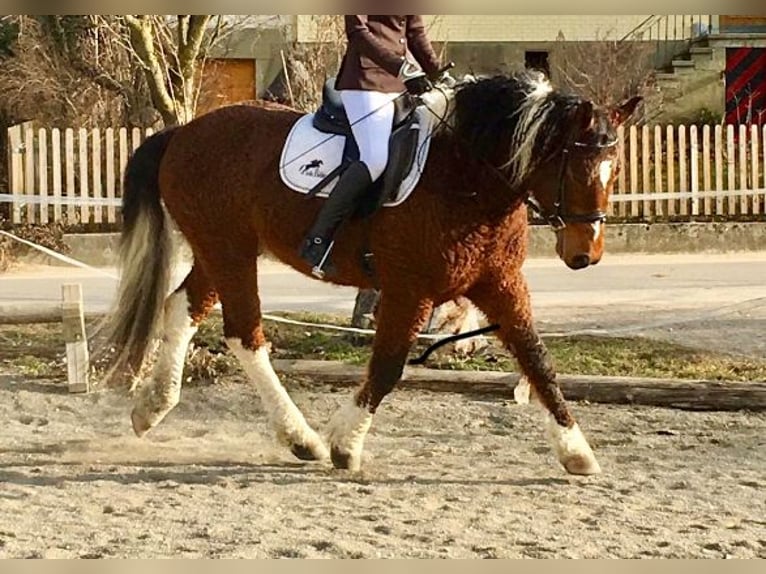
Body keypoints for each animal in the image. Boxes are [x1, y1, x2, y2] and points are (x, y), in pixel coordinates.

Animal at [102, 72, 640, 476]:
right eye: (576, 169)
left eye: (614, 170)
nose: (585, 254)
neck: (465, 175)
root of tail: (182, 133)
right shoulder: (408, 290)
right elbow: (387, 366)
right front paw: (345, 443)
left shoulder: (501, 285)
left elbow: (537, 359)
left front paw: (576, 450)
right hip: (229, 251)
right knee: (244, 333)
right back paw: (302, 438)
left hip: (220, 249)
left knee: (183, 307)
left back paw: (152, 408)